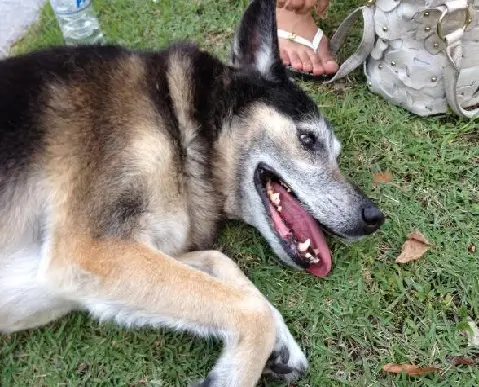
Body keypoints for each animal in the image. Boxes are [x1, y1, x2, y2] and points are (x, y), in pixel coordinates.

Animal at [0, 1, 384, 386]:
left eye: (336, 153)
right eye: (307, 139)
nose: (374, 218)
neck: (182, 127)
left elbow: (222, 263)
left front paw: (281, 343)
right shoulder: (91, 249)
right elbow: (250, 310)